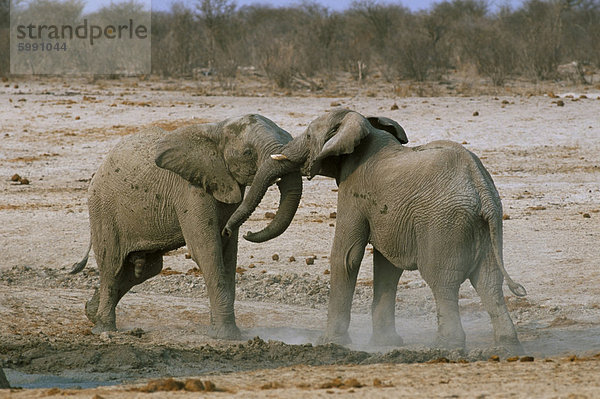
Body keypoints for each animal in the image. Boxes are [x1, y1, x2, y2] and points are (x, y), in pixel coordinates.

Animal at [71, 114, 302, 340]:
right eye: (247, 153)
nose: (243, 231)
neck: (218, 128)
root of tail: (99, 170)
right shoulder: (191, 190)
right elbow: (207, 250)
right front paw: (228, 336)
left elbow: (228, 254)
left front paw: (218, 332)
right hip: (104, 209)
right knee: (112, 264)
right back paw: (104, 328)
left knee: (144, 269)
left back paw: (91, 312)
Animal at [224, 108, 524, 354]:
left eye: (308, 135)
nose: (231, 232)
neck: (363, 127)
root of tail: (480, 187)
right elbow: (387, 266)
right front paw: (385, 343)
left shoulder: (353, 189)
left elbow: (346, 256)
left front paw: (330, 343)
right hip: (485, 226)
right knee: (488, 282)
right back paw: (507, 346)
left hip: (444, 224)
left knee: (443, 282)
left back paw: (445, 347)